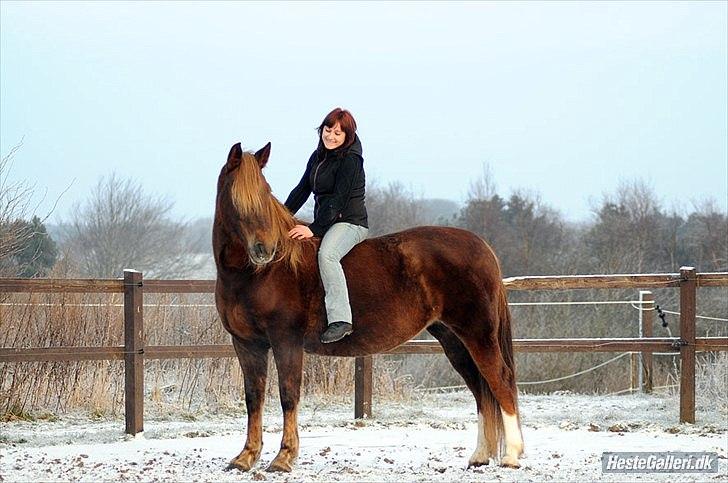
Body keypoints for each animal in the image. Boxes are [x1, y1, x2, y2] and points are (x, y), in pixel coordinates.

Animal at [212, 142, 524, 474]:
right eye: (235, 197)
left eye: (265, 192)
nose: (264, 249)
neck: (259, 274)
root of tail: (482, 246)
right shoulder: (247, 344)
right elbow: (253, 398)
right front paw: (246, 457)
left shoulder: (286, 341)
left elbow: (288, 395)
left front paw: (284, 457)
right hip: (453, 340)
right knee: (480, 388)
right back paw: (480, 455)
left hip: (478, 335)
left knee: (500, 381)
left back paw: (511, 455)